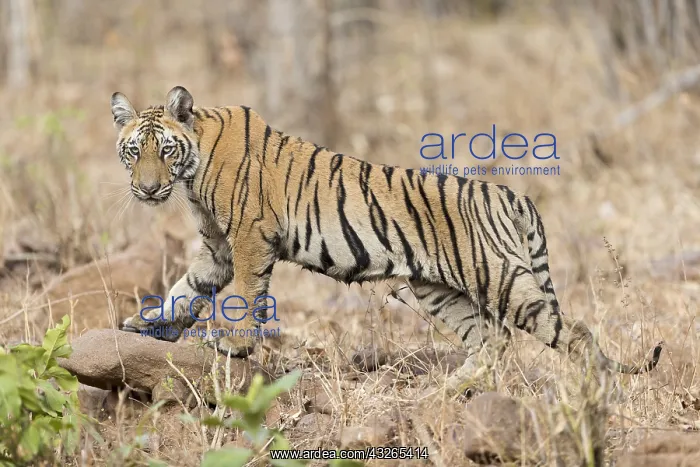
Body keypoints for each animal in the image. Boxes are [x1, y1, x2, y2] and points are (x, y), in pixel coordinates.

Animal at [110, 86, 662, 394]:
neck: (191, 170)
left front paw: (234, 344)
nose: (148, 188)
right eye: (134, 151)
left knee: (574, 332)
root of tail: (512, 195)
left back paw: (596, 391)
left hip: (503, 279)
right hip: (437, 290)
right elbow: (186, 289)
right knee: (493, 341)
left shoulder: (249, 237)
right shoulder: (216, 249)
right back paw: (445, 391)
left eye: (164, 150)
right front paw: (147, 325)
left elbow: (245, 295)